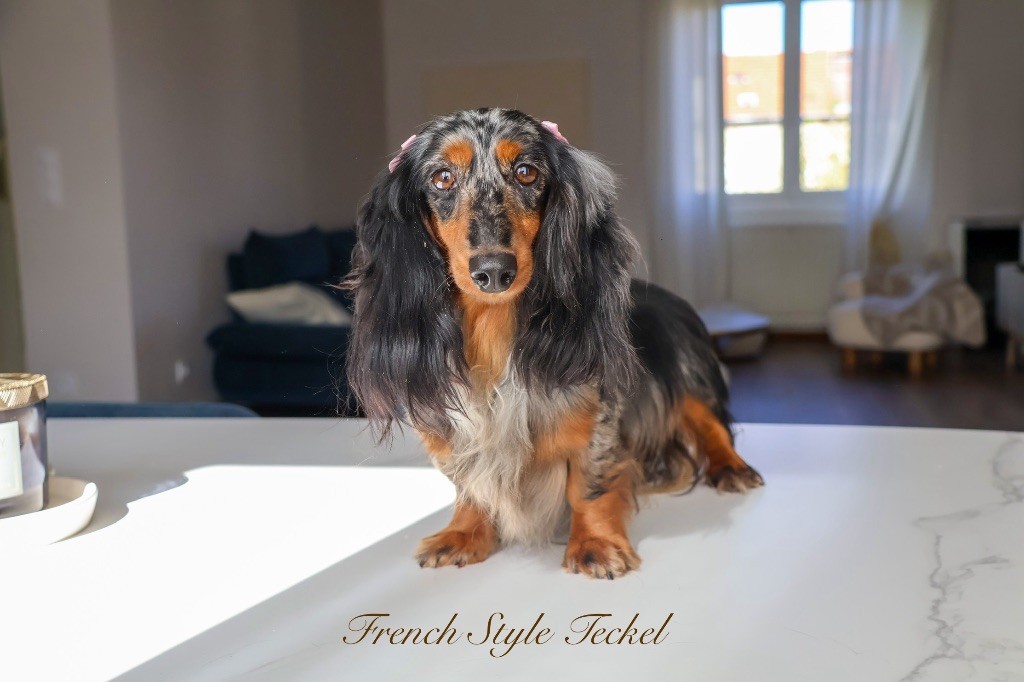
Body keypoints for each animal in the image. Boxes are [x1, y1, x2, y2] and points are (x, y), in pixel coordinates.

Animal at [344, 108, 763, 579]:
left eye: (526, 172)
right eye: (442, 178)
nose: (494, 271)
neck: (494, 335)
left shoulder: (599, 417)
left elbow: (589, 483)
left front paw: (595, 543)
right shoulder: (451, 427)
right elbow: (468, 482)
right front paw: (464, 533)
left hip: (690, 377)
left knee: (711, 424)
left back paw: (731, 468)